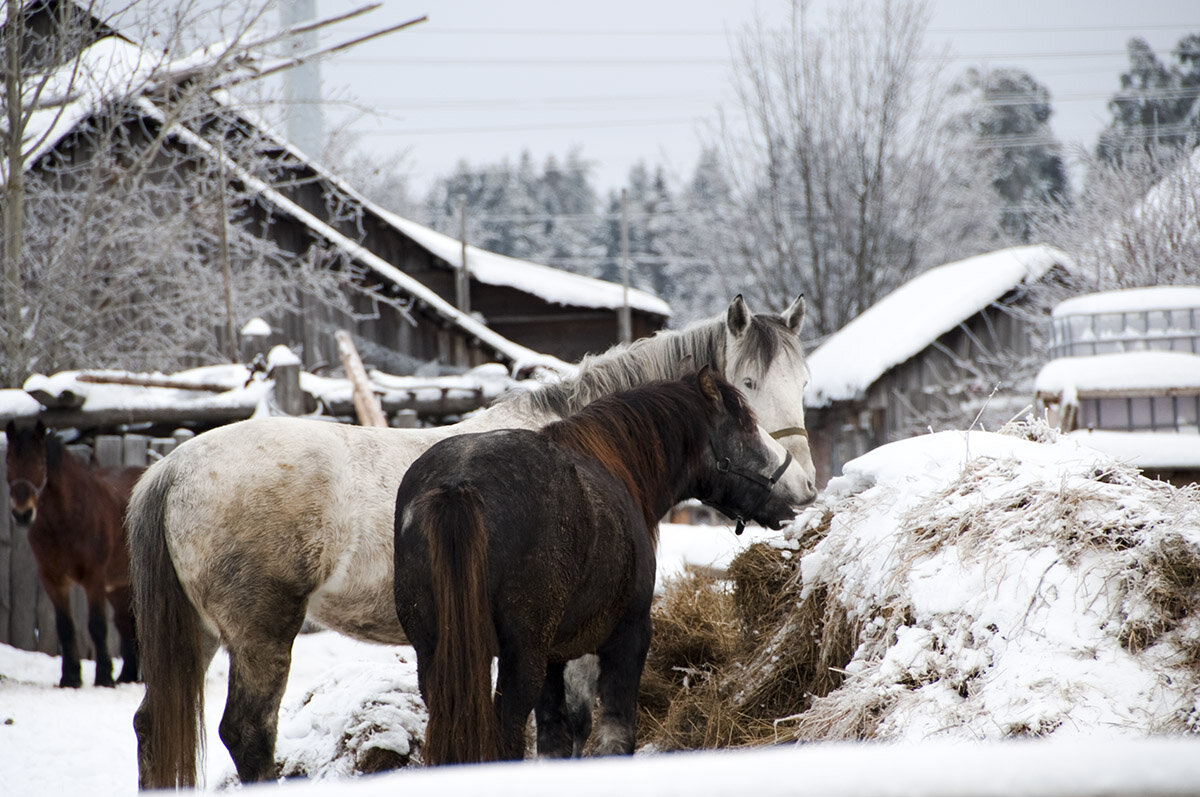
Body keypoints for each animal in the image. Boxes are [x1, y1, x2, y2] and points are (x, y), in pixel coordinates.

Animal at [4, 420, 143, 686]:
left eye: (41, 463)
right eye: (8, 462)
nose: (22, 514)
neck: (65, 520)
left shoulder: (94, 578)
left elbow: (97, 625)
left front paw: (103, 678)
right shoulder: (53, 580)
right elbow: (65, 626)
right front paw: (70, 678)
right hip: (118, 586)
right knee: (124, 623)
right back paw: (127, 676)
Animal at [393, 369, 806, 768]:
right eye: (746, 428)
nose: (800, 488)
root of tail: (458, 485)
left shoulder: (554, 657)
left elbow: (555, 740)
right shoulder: (628, 636)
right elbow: (615, 737)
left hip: (438, 657)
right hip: (521, 656)